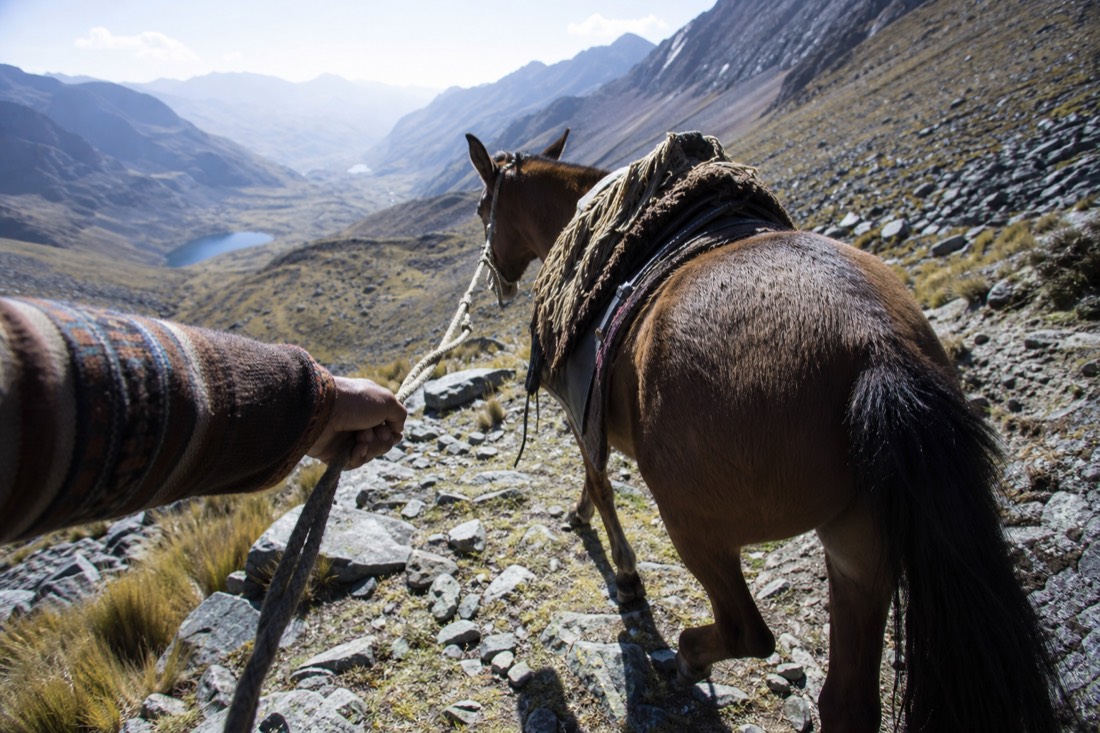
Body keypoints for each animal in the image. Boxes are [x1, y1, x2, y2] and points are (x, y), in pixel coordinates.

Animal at [465, 129, 1066, 732]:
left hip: (696, 527)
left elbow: (600, 483)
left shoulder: (579, 412)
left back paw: (687, 658)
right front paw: (584, 518)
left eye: (481, 209)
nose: (496, 274)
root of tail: (878, 344)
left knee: (747, 632)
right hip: (859, 547)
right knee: (845, 702)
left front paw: (621, 567)